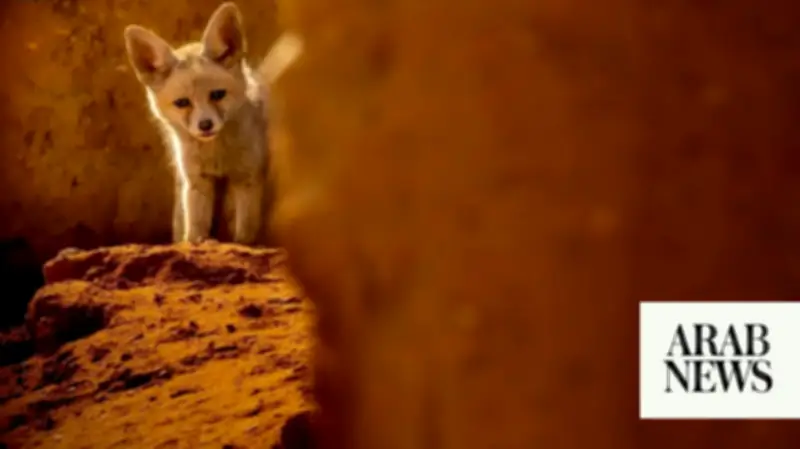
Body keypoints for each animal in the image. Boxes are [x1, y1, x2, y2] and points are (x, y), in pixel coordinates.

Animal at [123, 2, 269, 246]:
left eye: (218, 95)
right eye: (182, 103)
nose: (205, 125)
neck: (216, 156)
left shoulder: (247, 177)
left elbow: (245, 233)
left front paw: (243, 246)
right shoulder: (196, 181)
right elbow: (195, 231)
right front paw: (196, 245)